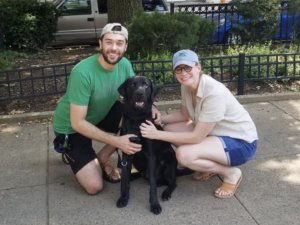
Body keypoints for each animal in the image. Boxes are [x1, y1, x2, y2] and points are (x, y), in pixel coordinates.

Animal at [116, 75, 191, 214]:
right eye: (132, 85)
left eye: (145, 85)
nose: (139, 93)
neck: (137, 118)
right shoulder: (127, 153)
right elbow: (124, 180)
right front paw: (124, 198)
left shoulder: (151, 156)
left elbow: (152, 185)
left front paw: (155, 204)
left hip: (169, 160)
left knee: (172, 182)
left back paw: (166, 192)